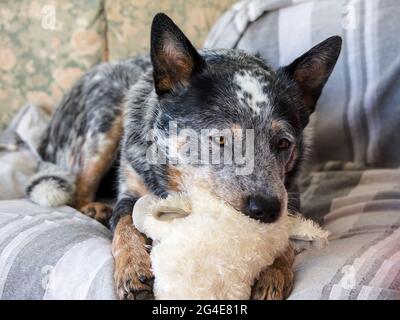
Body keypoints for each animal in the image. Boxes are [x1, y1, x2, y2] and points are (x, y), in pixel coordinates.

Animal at [26, 11, 342, 298]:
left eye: (283, 143)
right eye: (220, 139)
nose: (266, 209)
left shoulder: (290, 195)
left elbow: (285, 238)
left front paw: (273, 273)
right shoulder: (131, 190)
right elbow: (126, 225)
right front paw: (132, 269)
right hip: (103, 119)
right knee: (77, 187)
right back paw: (94, 208)